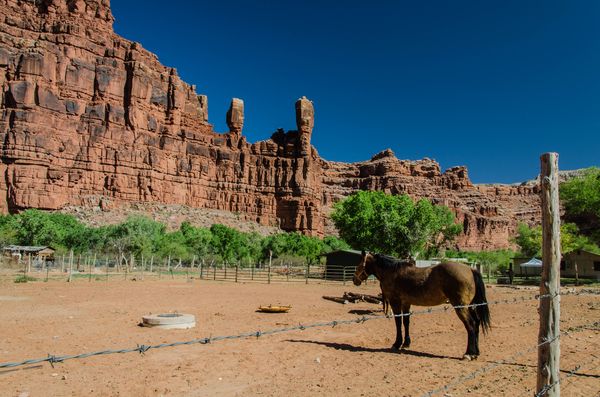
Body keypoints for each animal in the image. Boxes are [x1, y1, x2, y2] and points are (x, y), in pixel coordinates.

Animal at [354, 251, 490, 358]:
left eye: (359, 264)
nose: (354, 280)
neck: (392, 272)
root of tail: (471, 269)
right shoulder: (406, 304)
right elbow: (406, 322)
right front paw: (406, 343)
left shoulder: (395, 302)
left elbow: (398, 322)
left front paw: (397, 343)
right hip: (470, 306)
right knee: (477, 323)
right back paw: (476, 353)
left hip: (461, 307)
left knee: (471, 325)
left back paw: (469, 354)